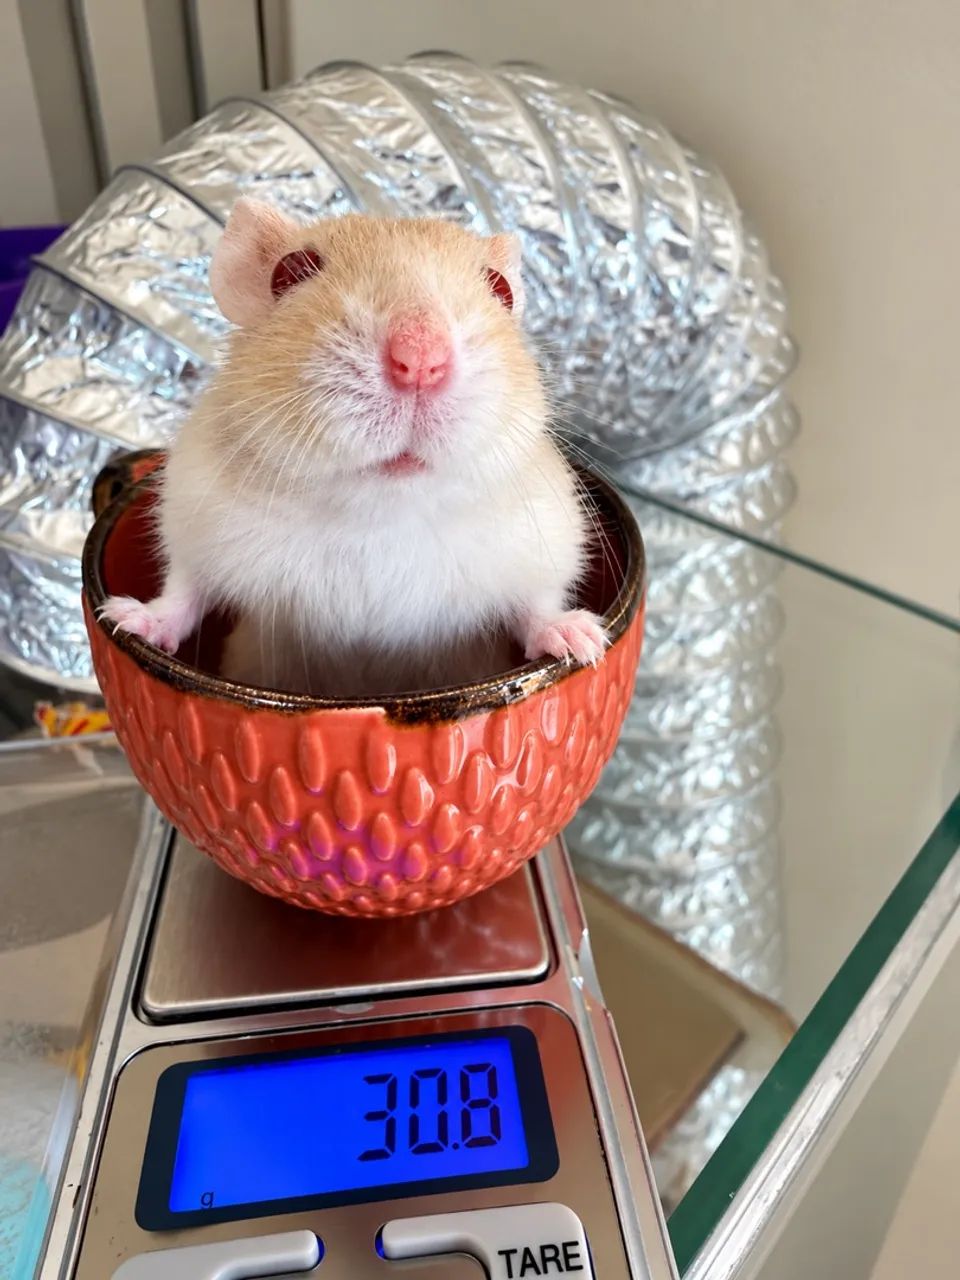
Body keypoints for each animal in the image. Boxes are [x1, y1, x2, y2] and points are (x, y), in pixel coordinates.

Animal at [100, 199, 605, 698]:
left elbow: (538, 605)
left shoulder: (546, 542)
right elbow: (182, 591)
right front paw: (125, 620)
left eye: (499, 287)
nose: (419, 359)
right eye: (288, 272)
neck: (377, 513)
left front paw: (584, 642)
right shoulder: (190, 522)